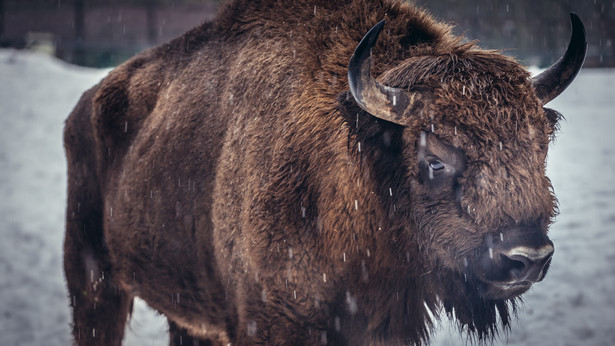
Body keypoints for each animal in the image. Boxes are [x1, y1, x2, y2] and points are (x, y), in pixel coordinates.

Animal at [62, 0, 588, 344]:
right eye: (435, 158)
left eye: (539, 148)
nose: (528, 257)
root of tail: (85, 107)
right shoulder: (270, 322)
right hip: (94, 284)